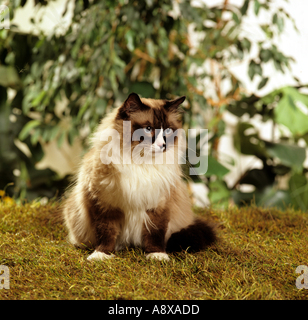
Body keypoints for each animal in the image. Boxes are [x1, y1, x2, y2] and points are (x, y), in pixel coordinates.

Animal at [62, 91, 217, 262]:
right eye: (148, 129)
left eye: (168, 131)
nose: (162, 145)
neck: (140, 161)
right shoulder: (103, 203)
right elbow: (106, 232)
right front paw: (101, 255)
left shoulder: (159, 204)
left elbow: (155, 233)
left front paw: (156, 255)